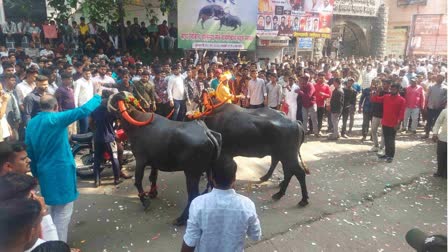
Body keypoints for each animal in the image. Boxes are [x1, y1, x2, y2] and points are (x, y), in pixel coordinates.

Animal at [107, 93, 222, 226]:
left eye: (114, 101)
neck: (137, 125)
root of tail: (207, 132)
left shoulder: (141, 160)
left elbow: (138, 181)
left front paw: (144, 200)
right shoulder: (154, 162)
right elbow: (153, 177)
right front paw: (152, 193)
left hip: (191, 174)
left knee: (193, 195)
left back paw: (180, 219)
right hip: (209, 170)